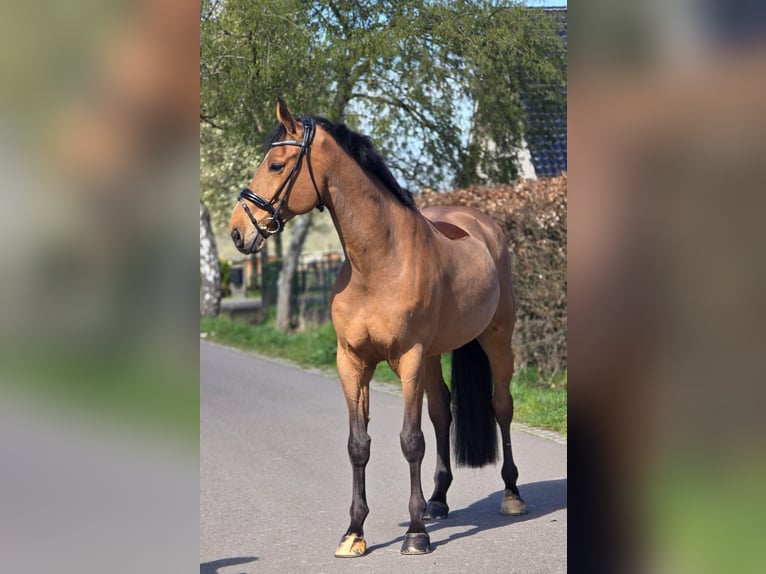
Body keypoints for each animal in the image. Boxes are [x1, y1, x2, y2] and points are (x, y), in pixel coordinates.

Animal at [228, 100, 527, 557]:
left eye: (276, 165)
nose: (238, 231)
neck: (379, 262)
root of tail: (482, 223)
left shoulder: (409, 359)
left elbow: (410, 440)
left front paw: (416, 534)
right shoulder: (352, 361)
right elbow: (359, 445)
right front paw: (354, 532)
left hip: (496, 339)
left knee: (501, 407)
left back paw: (511, 495)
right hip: (436, 354)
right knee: (443, 413)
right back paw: (438, 501)